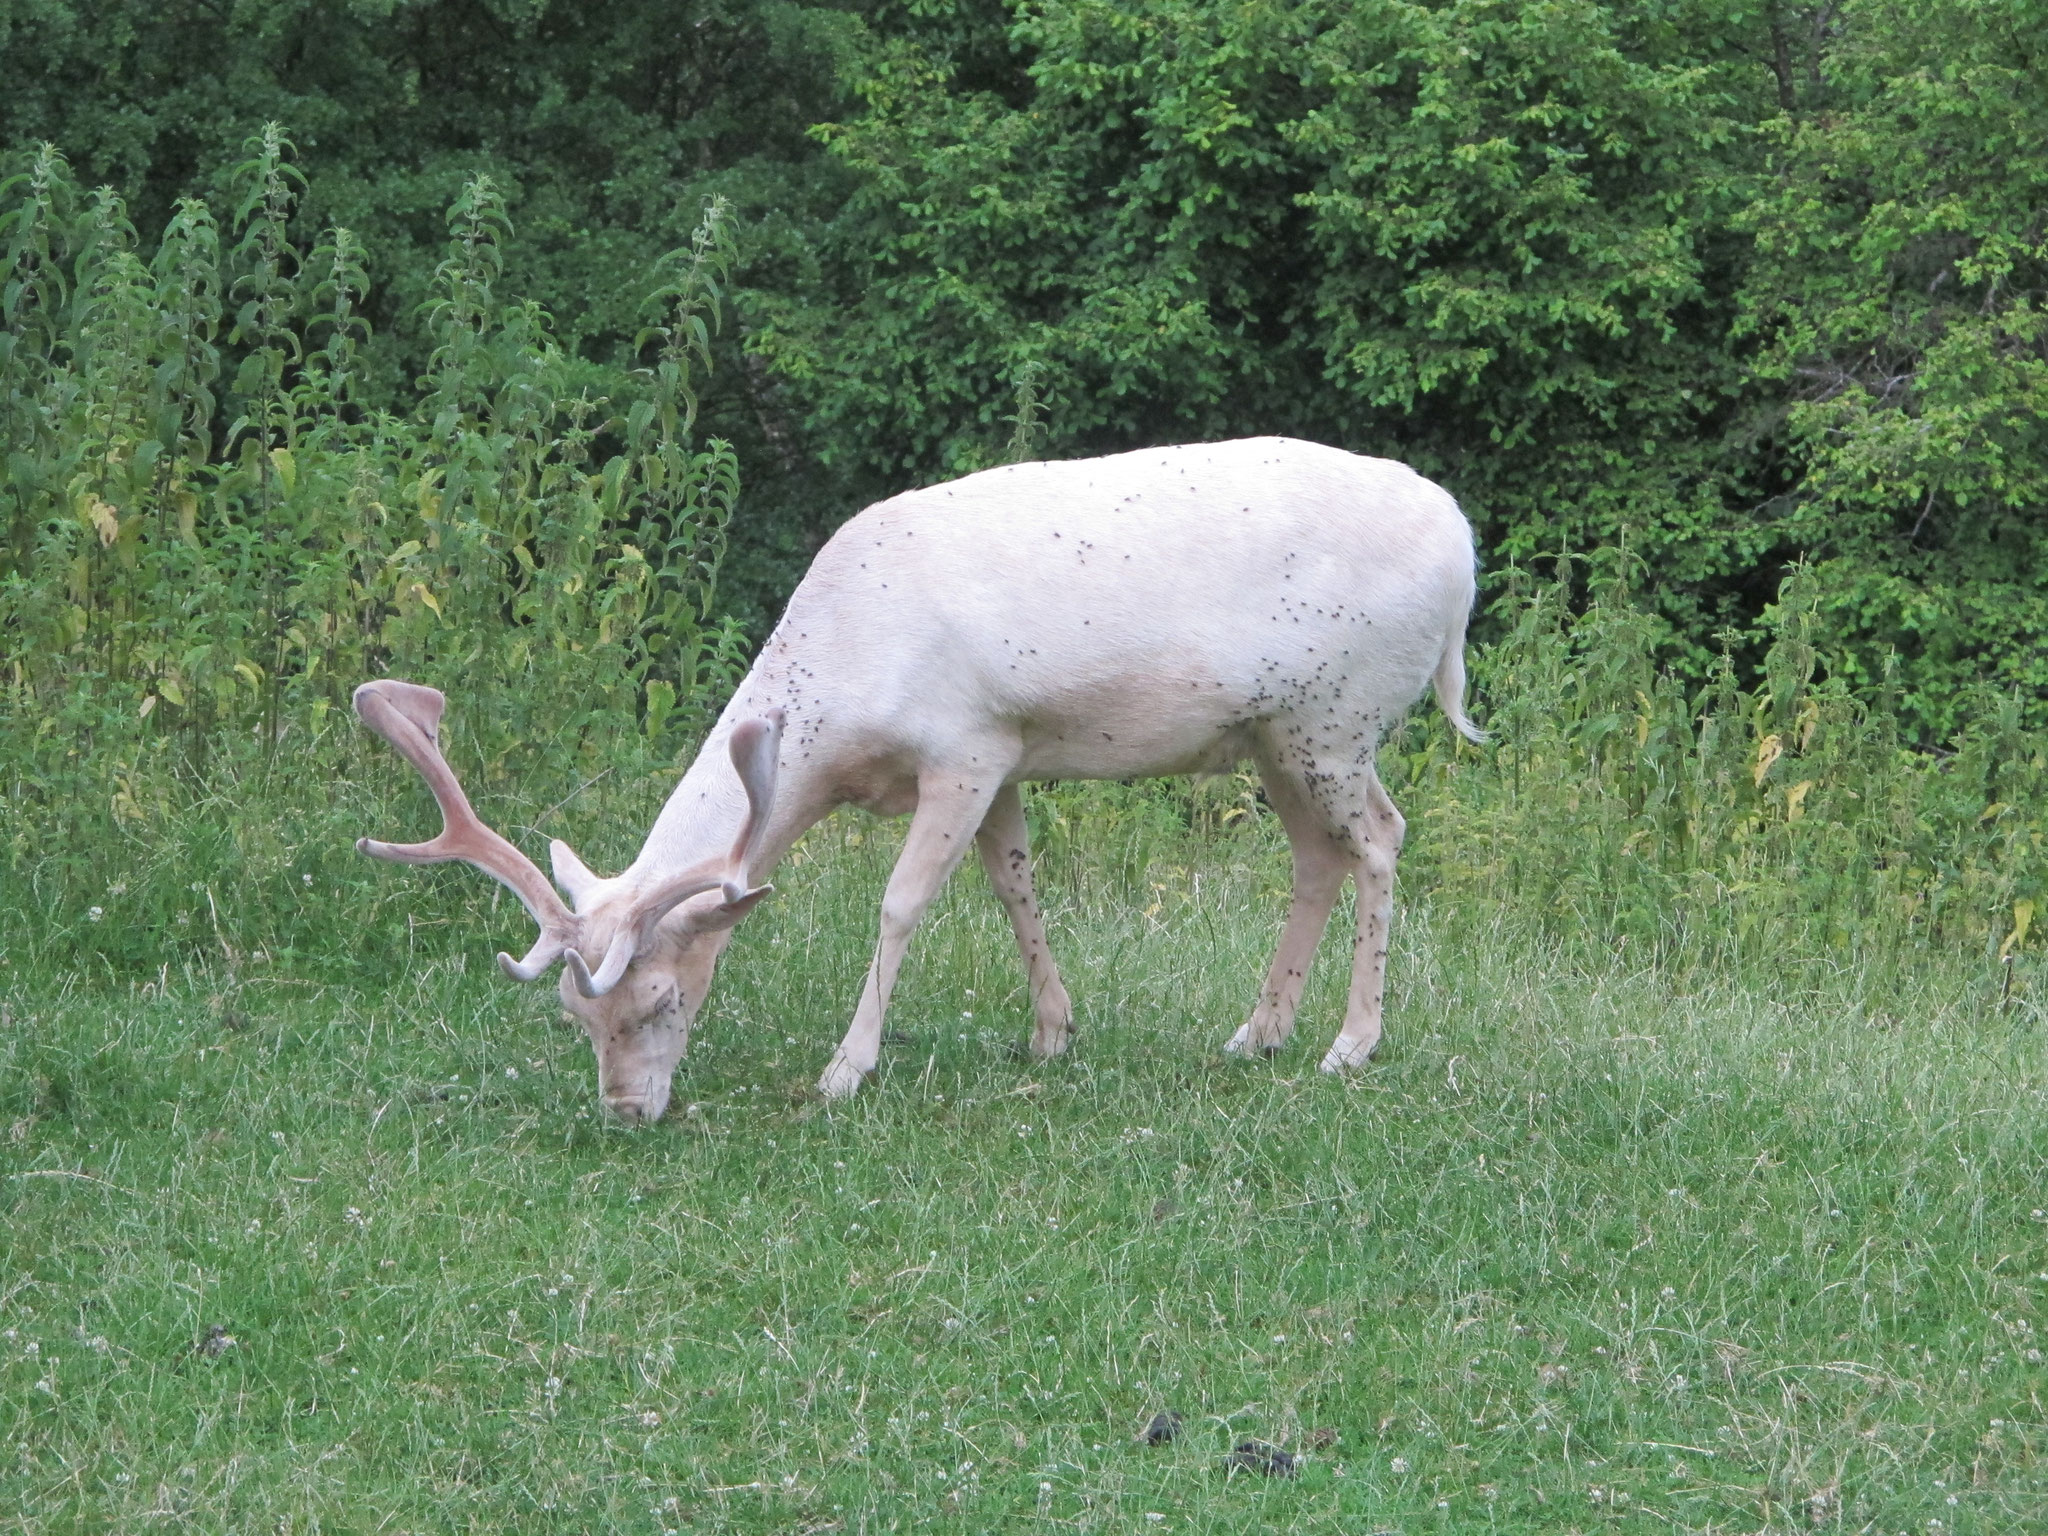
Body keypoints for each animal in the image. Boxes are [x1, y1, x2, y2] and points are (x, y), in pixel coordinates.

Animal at [352, 438, 1474, 1122]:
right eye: (574, 1018)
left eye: (662, 1000)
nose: (625, 1109)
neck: (849, 696)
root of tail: (1463, 549)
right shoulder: (1006, 752)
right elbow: (1014, 885)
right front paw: (1052, 1033)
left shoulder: (965, 744)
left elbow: (902, 902)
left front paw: (846, 1068)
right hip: (1275, 734)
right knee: (1316, 856)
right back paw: (1257, 1033)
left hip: (1342, 714)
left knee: (1381, 836)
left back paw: (1351, 1043)